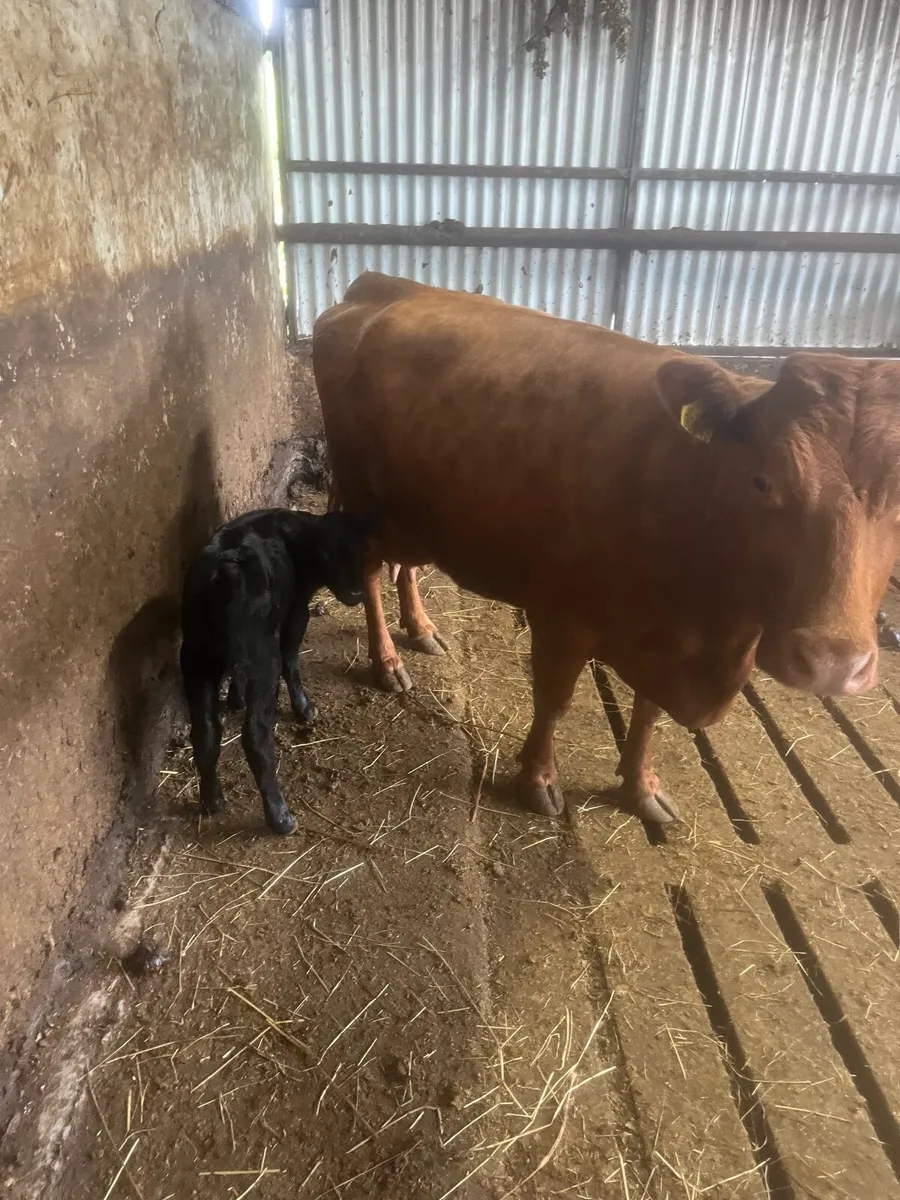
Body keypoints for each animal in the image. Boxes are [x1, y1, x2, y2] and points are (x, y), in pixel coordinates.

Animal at [313, 272, 900, 823]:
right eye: (762, 480)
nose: (832, 664)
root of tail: (383, 284)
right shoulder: (559, 615)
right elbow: (554, 700)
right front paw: (538, 780)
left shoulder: (667, 645)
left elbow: (649, 714)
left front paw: (641, 787)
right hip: (361, 497)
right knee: (371, 574)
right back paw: (387, 662)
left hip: (413, 511)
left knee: (406, 568)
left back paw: (421, 629)